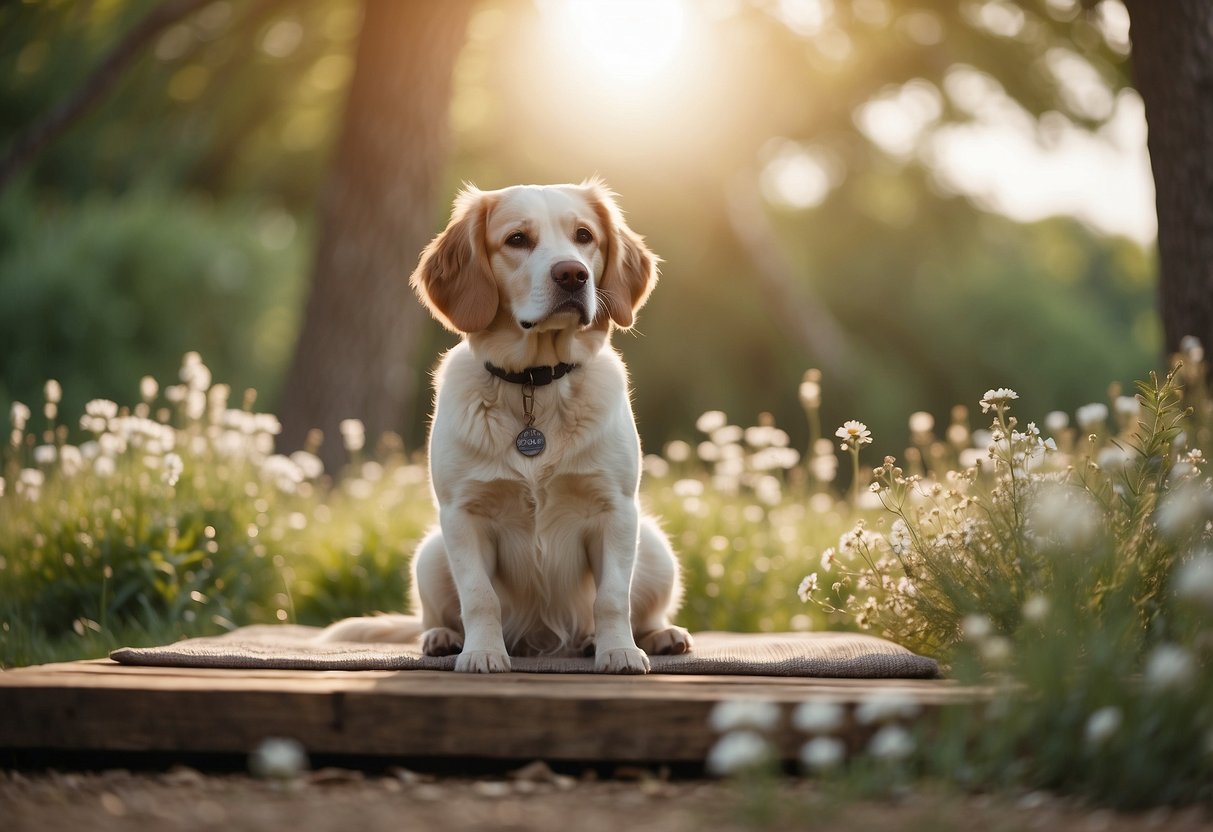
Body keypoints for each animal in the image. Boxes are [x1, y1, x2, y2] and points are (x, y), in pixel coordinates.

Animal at [317, 179, 698, 674]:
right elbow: (480, 597)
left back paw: (652, 636)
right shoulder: (464, 515)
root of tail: (544, 641)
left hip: (654, 546)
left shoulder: (615, 510)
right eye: (517, 239)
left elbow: (613, 597)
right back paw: (442, 638)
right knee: (433, 617)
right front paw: (482, 653)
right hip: (430, 554)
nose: (573, 275)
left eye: (584, 236)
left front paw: (619, 650)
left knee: (641, 610)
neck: (535, 382)